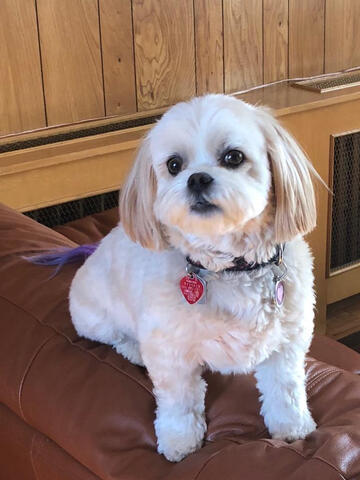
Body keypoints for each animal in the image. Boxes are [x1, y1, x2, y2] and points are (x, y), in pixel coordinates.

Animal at [69, 93, 316, 462]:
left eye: (233, 157)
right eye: (174, 165)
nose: (197, 178)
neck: (229, 266)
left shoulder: (287, 341)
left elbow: (285, 388)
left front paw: (293, 427)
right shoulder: (170, 352)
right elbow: (179, 400)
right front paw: (179, 441)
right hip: (95, 317)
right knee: (116, 337)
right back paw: (134, 349)